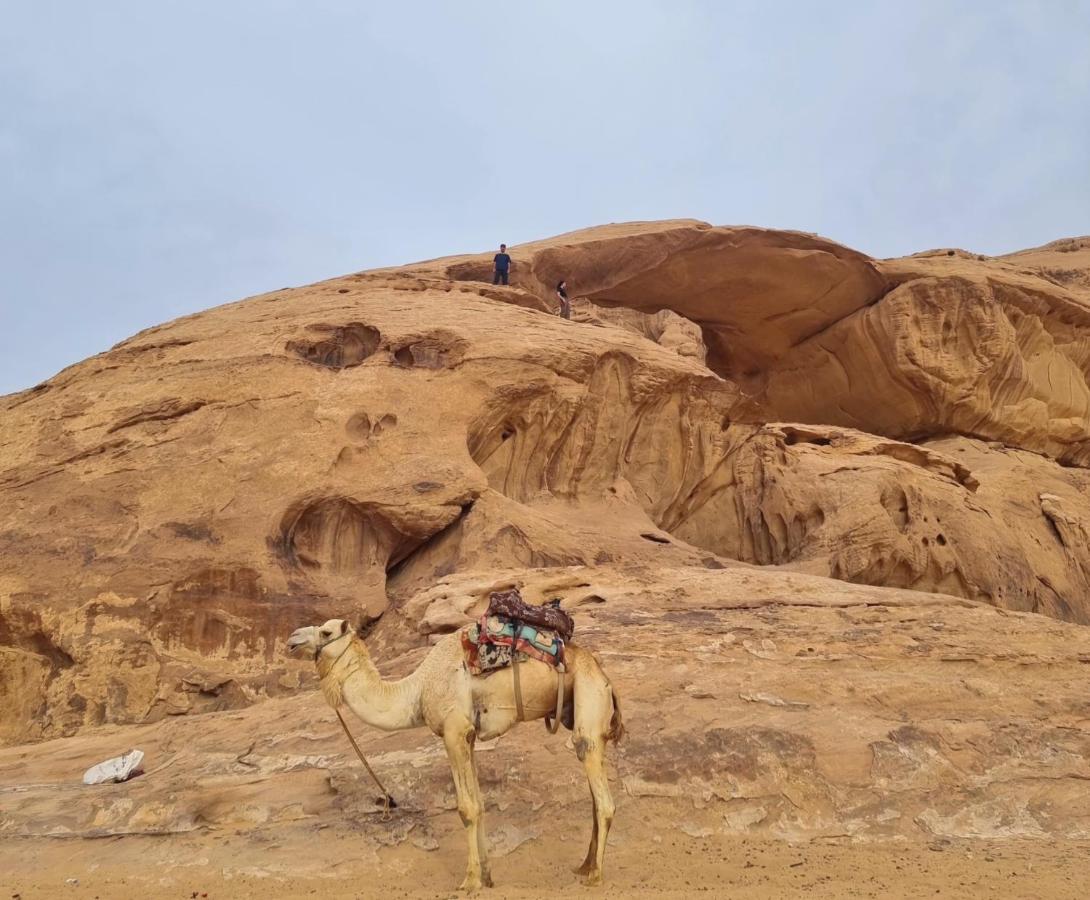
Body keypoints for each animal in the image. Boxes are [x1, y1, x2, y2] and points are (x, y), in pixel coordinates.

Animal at [289, 614, 627, 889]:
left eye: (326, 632)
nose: (292, 639)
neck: (417, 690)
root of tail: (605, 677)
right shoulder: (469, 736)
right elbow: (479, 803)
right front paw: (487, 876)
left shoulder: (453, 732)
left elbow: (466, 808)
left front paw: (470, 881)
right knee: (595, 798)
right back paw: (584, 866)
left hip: (588, 701)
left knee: (603, 798)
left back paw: (595, 875)